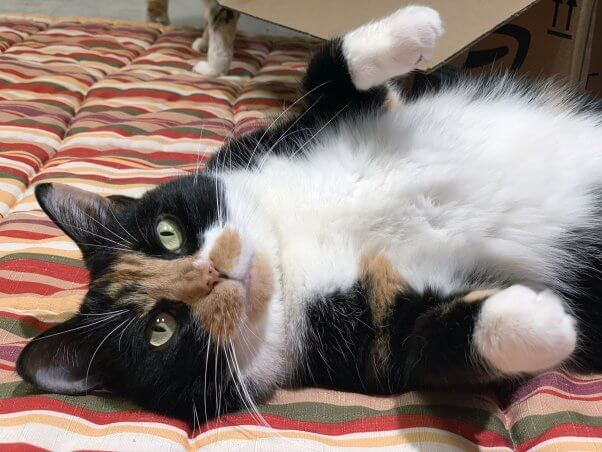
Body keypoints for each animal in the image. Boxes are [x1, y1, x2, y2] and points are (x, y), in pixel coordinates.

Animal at [14, 5, 600, 426]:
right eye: (160, 330)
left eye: (168, 232)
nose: (213, 272)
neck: (287, 234)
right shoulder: (364, 341)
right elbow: (428, 339)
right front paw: (544, 323)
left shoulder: (289, 133)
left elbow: (329, 70)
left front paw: (417, 27)